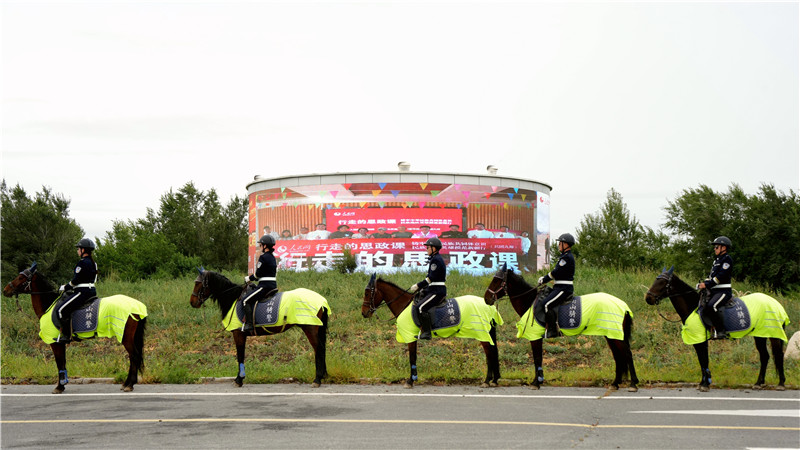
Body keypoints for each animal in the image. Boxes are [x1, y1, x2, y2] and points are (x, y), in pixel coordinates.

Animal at [2, 262, 148, 392]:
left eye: (21, 278)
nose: (5, 290)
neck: (48, 306)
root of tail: (137, 305)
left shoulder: (55, 343)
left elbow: (59, 362)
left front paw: (59, 387)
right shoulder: (61, 343)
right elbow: (63, 362)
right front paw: (62, 384)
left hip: (125, 336)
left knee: (134, 356)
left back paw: (129, 384)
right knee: (133, 357)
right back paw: (126, 383)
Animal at [189, 268, 330, 388]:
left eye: (198, 283)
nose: (192, 302)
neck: (233, 299)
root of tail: (321, 299)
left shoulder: (238, 334)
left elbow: (240, 355)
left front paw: (239, 380)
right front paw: (239, 378)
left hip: (310, 328)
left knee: (319, 349)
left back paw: (317, 379)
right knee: (321, 349)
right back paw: (322, 376)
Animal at [360, 272, 500, 388]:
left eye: (367, 293)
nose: (364, 313)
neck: (404, 305)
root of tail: (488, 305)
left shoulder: (410, 337)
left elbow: (412, 358)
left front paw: (410, 381)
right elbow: (414, 357)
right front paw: (413, 379)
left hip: (482, 333)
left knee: (489, 354)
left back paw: (487, 381)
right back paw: (493, 380)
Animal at [484, 264, 640, 390]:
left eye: (497, 280)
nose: (486, 298)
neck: (530, 302)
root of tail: (623, 305)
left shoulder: (535, 337)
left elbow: (537, 358)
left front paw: (536, 382)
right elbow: (539, 358)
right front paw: (539, 381)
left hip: (615, 335)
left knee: (627, 354)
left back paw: (633, 383)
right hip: (611, 335)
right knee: (618, 356)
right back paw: (615, 383)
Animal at [644, 268, 788, 390]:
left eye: (662, 282)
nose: (648, 298)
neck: (693, 307)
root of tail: (776, 304)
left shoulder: (700, 340)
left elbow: (704, 360)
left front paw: (705, 384)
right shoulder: (698, 341)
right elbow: (702, 361)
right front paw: (703, 382)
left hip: (772, 334)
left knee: (778, 355)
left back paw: (781, 383)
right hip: (760, 335)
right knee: (765, 356)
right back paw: (758, 383)